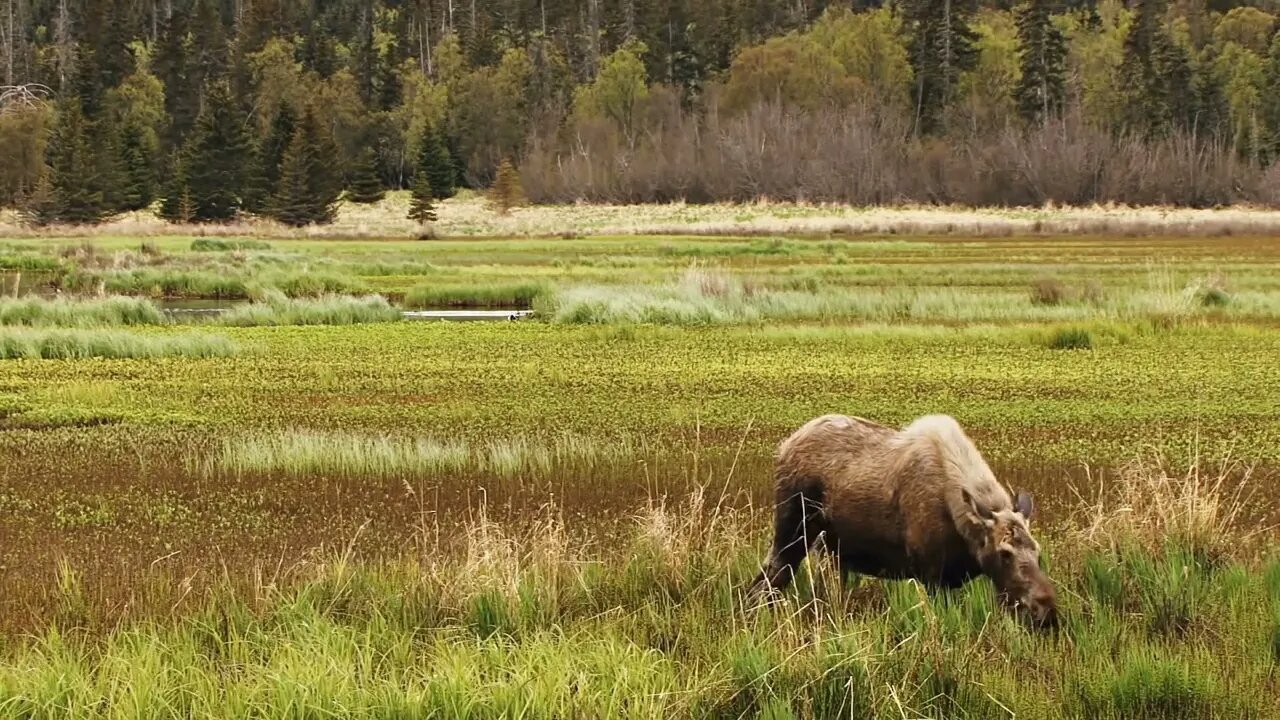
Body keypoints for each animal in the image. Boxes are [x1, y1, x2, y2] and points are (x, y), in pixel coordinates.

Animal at [747, 412, 1054, 625]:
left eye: (1037, 552)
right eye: (1004, 553)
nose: (1046, 610)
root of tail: (782, 447)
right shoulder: (931, 576)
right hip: (792, 533)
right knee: (764, 583)